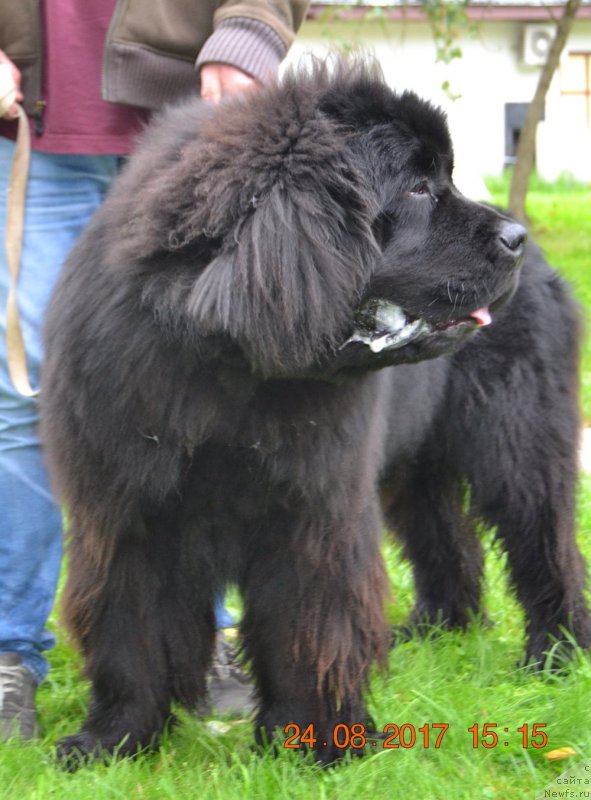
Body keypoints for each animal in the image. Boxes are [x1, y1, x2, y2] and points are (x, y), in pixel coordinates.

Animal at [41, 61, 591, 764]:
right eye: (418, 188)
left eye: (444, 178)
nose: (514, 238)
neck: (226, 368)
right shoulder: (127, 512)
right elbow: (129, 631)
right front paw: (114, 740)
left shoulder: (313, 511)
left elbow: (311, 625)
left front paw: (320, 742)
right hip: (414, 461)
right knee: (445, 537)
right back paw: (436, 628)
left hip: (518, 440)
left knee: (543, 542)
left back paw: (554, 655)